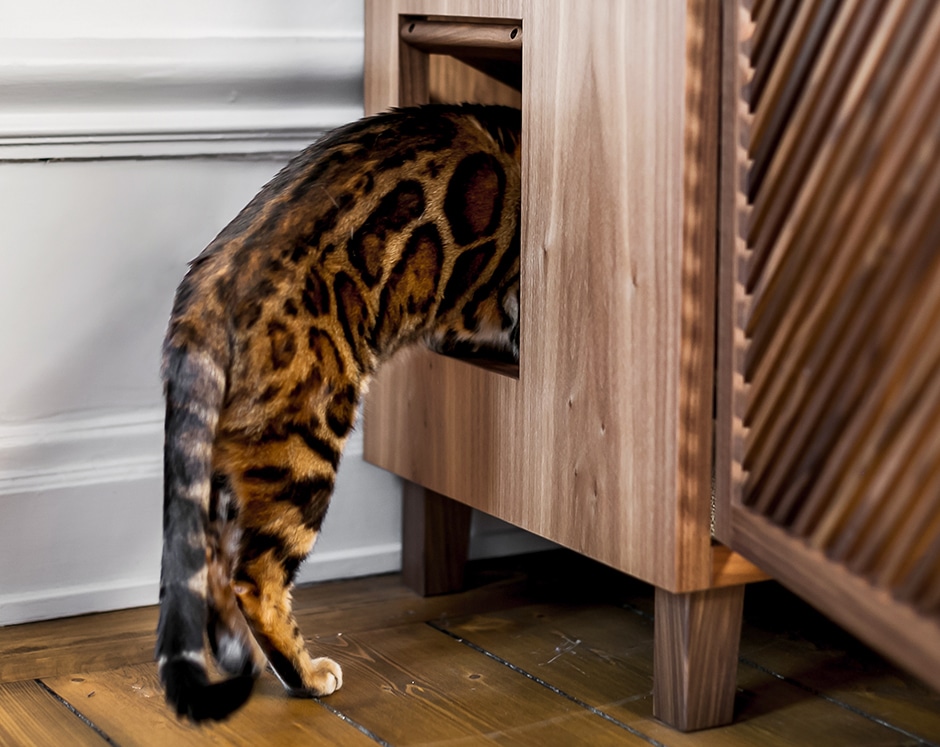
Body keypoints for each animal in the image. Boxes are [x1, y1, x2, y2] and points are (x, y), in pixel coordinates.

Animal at [156, 102, 520, 720]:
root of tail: (204, 291)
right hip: (305, 445)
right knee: (253, 579)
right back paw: (304, 674)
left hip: (224, 472)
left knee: (214, 567)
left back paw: (243, 660)